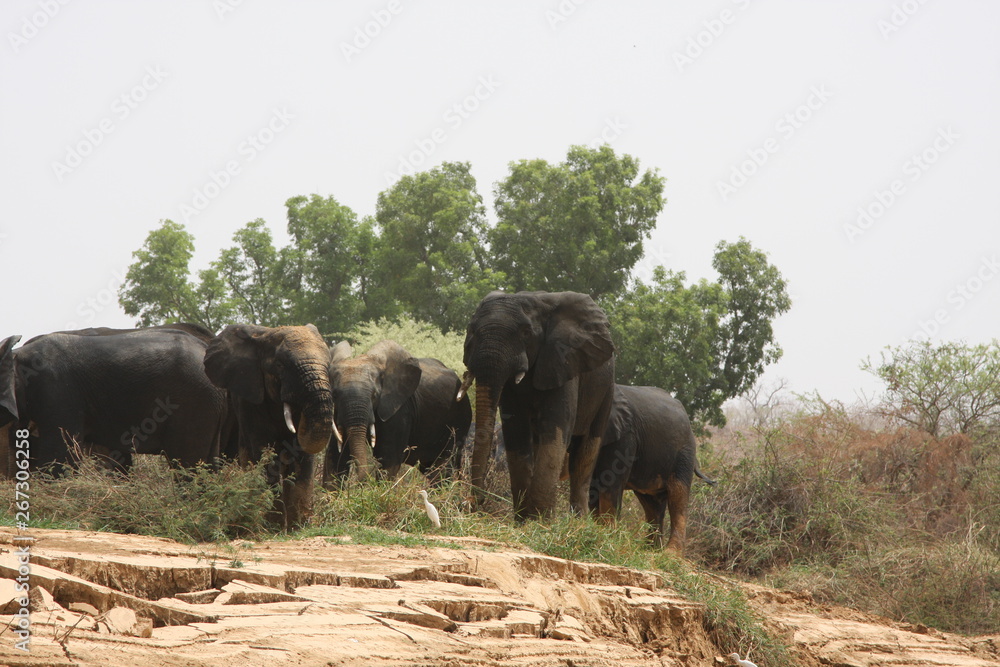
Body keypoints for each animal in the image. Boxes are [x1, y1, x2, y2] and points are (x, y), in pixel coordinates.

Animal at [203, 324, 335, 529]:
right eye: (280, 365)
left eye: (328, 366)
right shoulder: (250, 401)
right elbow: (264, 451)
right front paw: (275, 526)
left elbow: (302, 457)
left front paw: (299, 527)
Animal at [325, 340, 472, 484]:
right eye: (335, 395)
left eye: (374, 395)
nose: (363, 481)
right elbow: (334, 459)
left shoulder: (400, 411)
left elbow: (388, 460)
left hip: (460, 419)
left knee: (443, 469)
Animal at [461, 290, 616, 519]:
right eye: (471, 331)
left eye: (526, 333)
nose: (475, 502)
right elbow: (517, 431)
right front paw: (523, 519)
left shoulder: (561, 360)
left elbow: (555, 430)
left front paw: (540, 520)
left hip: (606, 390)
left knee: (584, 455)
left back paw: (578, 521)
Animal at [588, 384, 715, 552]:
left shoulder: (626, 435)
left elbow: (610, 482)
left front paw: (606, 538)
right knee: (653, 504)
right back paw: (651, 551)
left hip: (684, 453)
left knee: (678, 496)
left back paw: (670, 554)